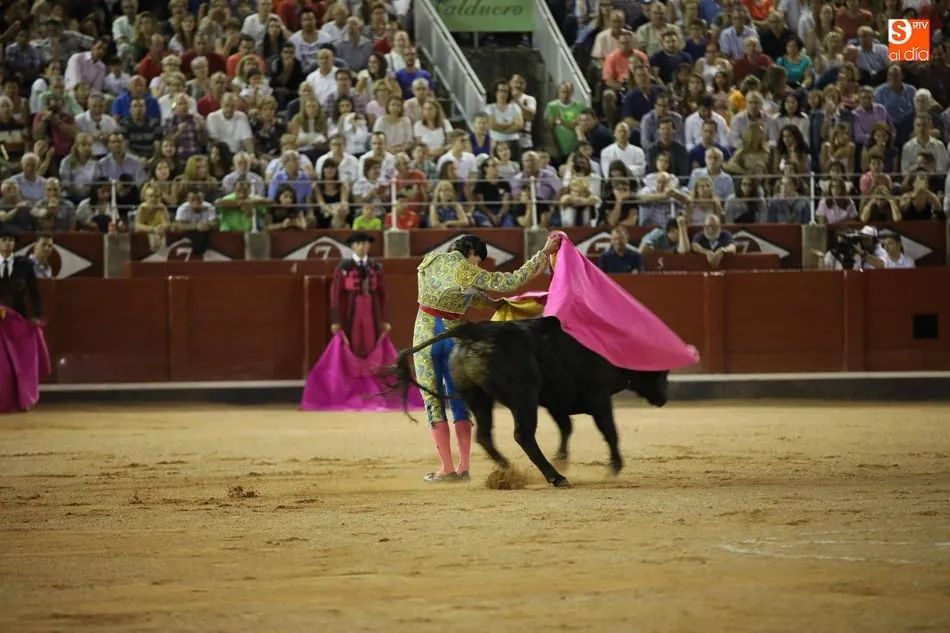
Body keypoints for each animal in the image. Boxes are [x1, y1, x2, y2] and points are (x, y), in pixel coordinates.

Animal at [383, 316, 669, 488]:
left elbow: (567, 427)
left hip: (478, 397)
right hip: (524, 398)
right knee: (523, 435)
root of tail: (474, 331)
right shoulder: (598, 396)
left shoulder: (555, 401)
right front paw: (615, 466)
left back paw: (508, 468)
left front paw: (562, 457)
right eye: (660, 371)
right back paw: (555, 477)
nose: (664, 398)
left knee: (484, 434)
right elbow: (609, 430)